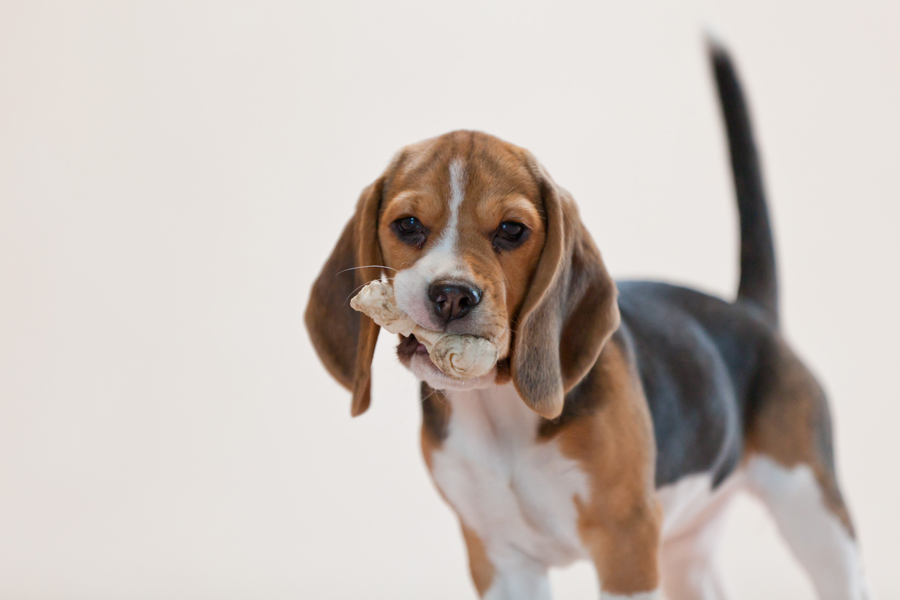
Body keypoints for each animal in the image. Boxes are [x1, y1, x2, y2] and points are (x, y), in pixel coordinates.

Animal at [306, 43, 868, 600]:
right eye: (407, 225)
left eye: (512, 231)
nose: (451, 296)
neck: (500, 410)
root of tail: (751, 312)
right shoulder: (499, 558)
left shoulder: (627, 544)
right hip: (690, 550)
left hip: (812, 511)